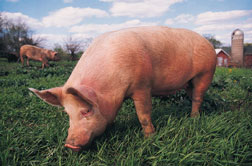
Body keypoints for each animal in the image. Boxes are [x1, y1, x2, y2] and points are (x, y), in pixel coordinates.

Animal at [28, 26, 216, 152]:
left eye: (86, 110)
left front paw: (149, 138)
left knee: (198, 97)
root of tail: (208, 42)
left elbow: (143, 115)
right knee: (193, 95)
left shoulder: (142, 86)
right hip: (189, 82)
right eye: (68, 113)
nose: (69, 144)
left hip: (205, 73)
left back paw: (193, 118)